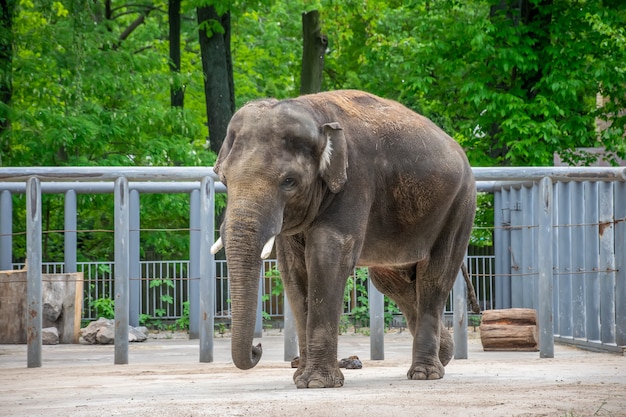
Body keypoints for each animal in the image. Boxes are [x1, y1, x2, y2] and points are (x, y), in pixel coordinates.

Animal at [212, 89, 476, 388]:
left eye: (289, 181)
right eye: (224, 179)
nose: (257, 348)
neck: (313, 113)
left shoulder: (355, 179)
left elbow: (328, 257)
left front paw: (317, 383)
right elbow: (292, 270)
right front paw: (301, 379)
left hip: (460, 205)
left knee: (435, 276)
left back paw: (424, 373)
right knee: (392, 281)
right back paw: (444, 352)